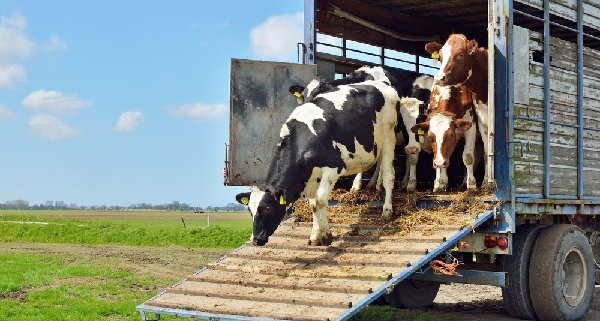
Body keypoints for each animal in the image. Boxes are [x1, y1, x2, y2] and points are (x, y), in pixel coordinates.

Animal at [238, 78, 398, 245]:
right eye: (250, 210)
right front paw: (316, 234)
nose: (256, 239)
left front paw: (325, 236)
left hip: (388, 137)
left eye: (267, 208)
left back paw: (387, 211)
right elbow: (313, 203)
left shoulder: (333, 167)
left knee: (389, 175)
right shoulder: (312, 175)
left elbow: (320, 200)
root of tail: (381, 83)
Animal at [424, 33, 490, 184]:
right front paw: (440, 182)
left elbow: (468, 156)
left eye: (460, 54)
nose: (439, 78)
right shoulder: (482, 121)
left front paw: (473, 184)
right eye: (440, 56)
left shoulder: (472, 124)